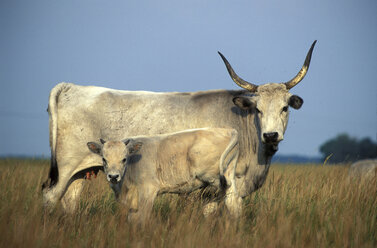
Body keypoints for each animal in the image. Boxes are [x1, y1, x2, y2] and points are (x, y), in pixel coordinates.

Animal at [42, 41, 316, 213]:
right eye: (258, 109)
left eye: (285, 108)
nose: (271, 135)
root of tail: (70, 87)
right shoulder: (224, 186)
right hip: (65, 167)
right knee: (50, 196)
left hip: (81, 171)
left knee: (69, 200)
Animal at [87, 128, 241, 223]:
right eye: (104, 159)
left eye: (124, 159)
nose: (113, 176)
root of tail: (227, 130)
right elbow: (132, 218)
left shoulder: (148, 190)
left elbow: (141, 218)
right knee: (232, 203)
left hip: (216, 179)